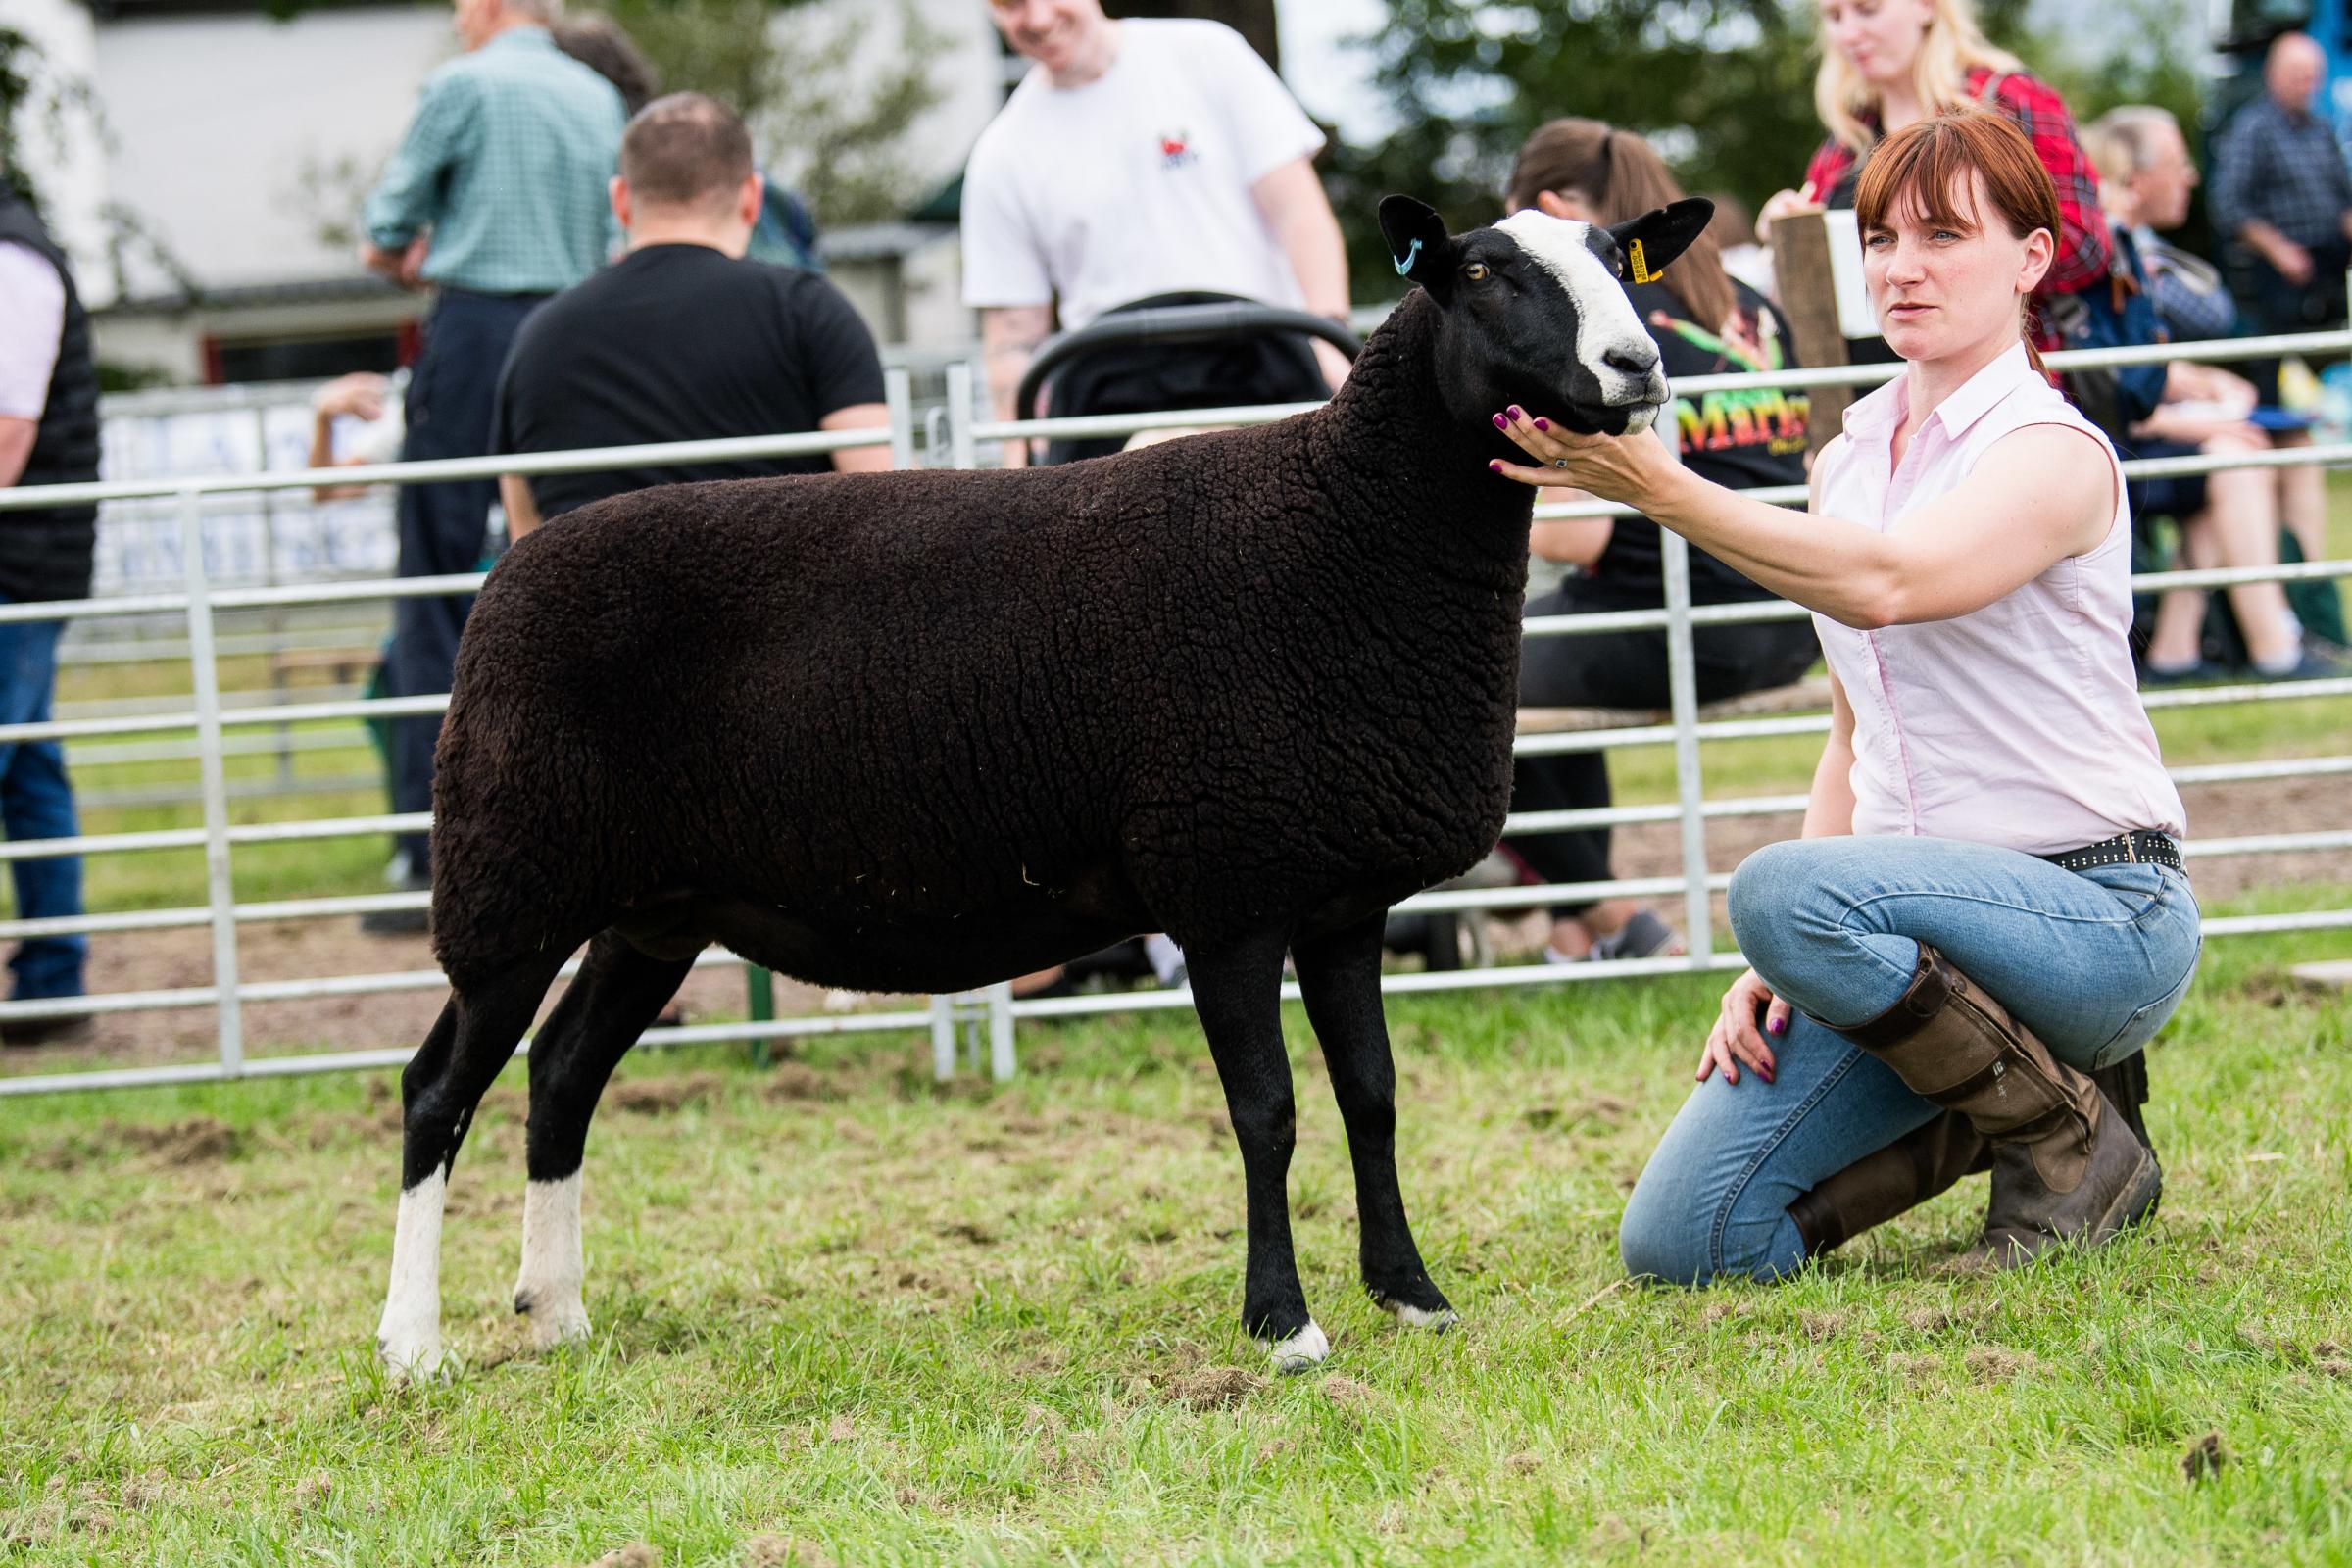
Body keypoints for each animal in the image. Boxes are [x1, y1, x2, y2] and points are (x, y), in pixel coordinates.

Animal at [380, 192, 1712, 1372]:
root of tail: (510, 571)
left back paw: (557, 1316)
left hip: (650, 908)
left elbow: (1372, 1096)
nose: (1637, 363)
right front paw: (1284, 1326)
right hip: (511, 876)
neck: (1345, 528)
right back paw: (412, 1347)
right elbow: (1268, 1109)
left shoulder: (1342, 895)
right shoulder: (1224, 882)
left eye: (1617, 257)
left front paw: (1413, 1296)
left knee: (561, 1077)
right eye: (1482, 273)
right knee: (437, 1087)